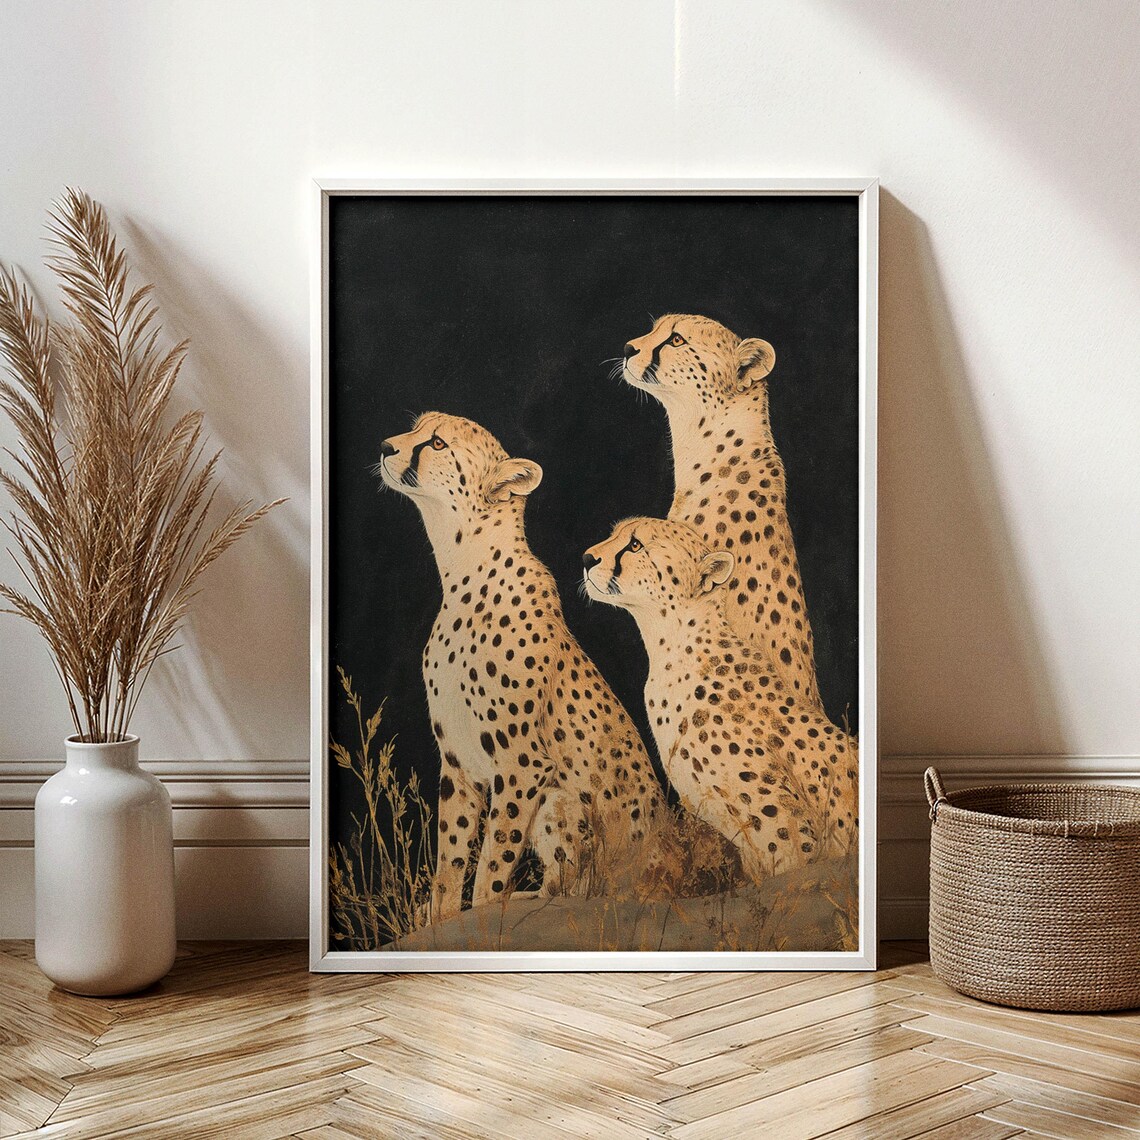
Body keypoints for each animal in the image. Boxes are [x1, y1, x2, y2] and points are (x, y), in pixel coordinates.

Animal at [377, 412, 683, 921]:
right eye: (416, 427)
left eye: (437, 443)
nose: (384, 447)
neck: (462, 574)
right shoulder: (457, 763)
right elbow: (450, 856)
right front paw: (441, 918)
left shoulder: (523, 764)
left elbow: (493, 858)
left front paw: (482, 916)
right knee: (560, 886)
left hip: (566, 803)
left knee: (583, 891)